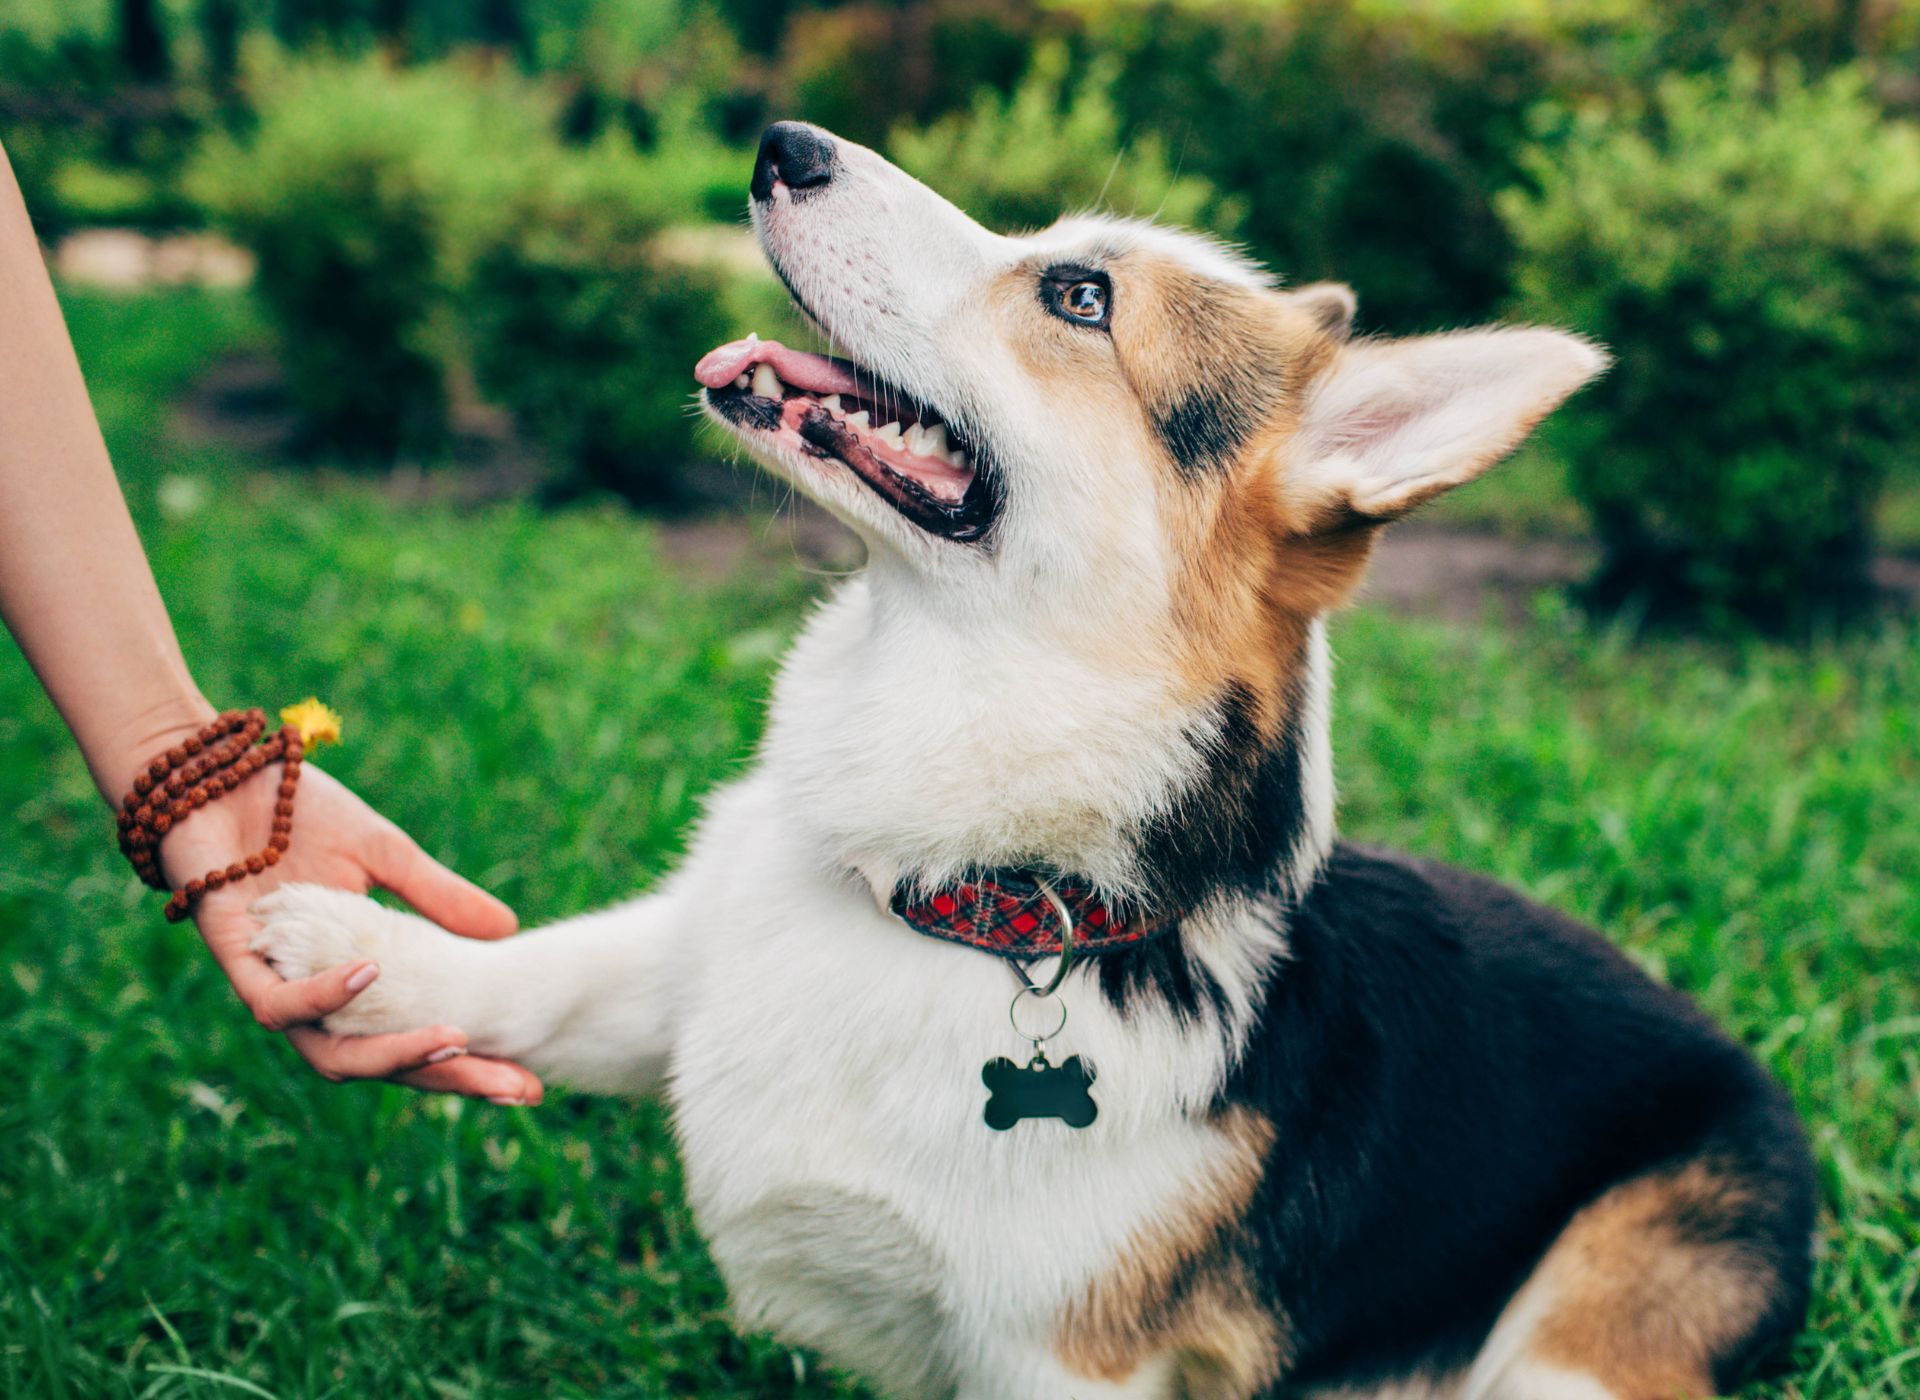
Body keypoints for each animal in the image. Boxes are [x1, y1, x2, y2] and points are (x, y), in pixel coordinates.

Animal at [255, 122, 1812, 1398]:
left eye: (1077, 297)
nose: (781, 143)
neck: (962, 896)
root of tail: (1775, 1099)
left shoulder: (1057, 1362)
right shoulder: (681, 964)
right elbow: (536, 973)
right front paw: (335, 935)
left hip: (1580, 1337)